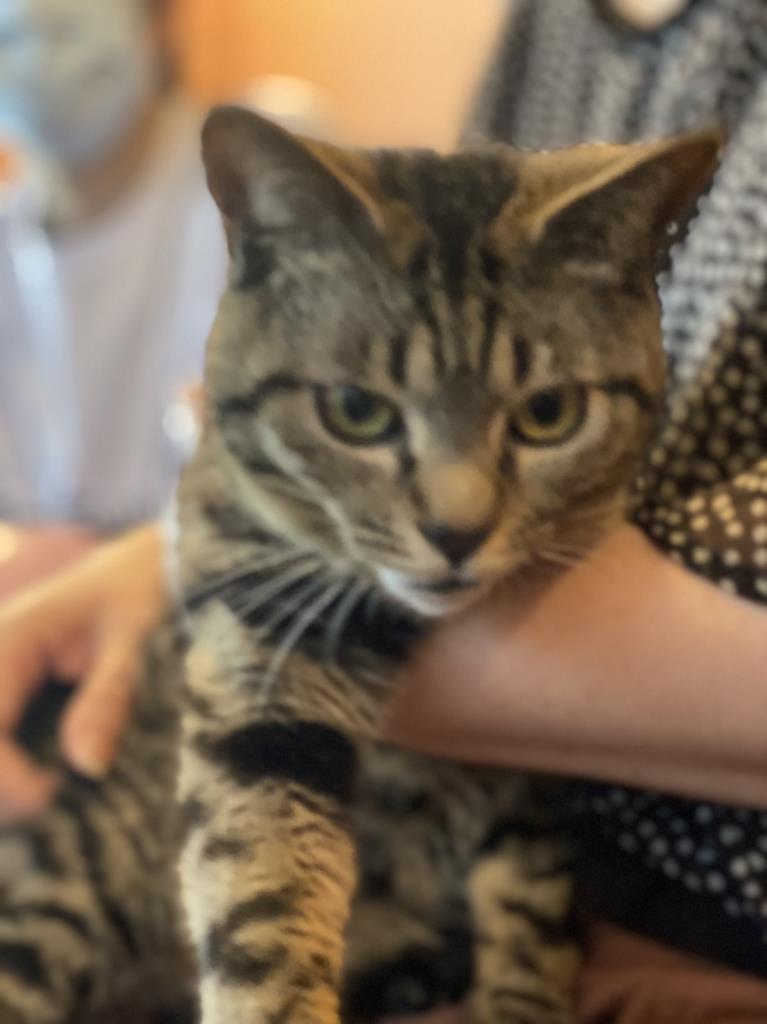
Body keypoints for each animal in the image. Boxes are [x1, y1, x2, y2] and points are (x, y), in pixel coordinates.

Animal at [0, 110, 719, 1024]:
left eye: (549, 414)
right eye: (355, 412)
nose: (457, 532)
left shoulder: (530, 789)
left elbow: (531, 904)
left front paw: (520, 996)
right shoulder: (256, 654)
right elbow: (262, 899)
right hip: (71, 882)